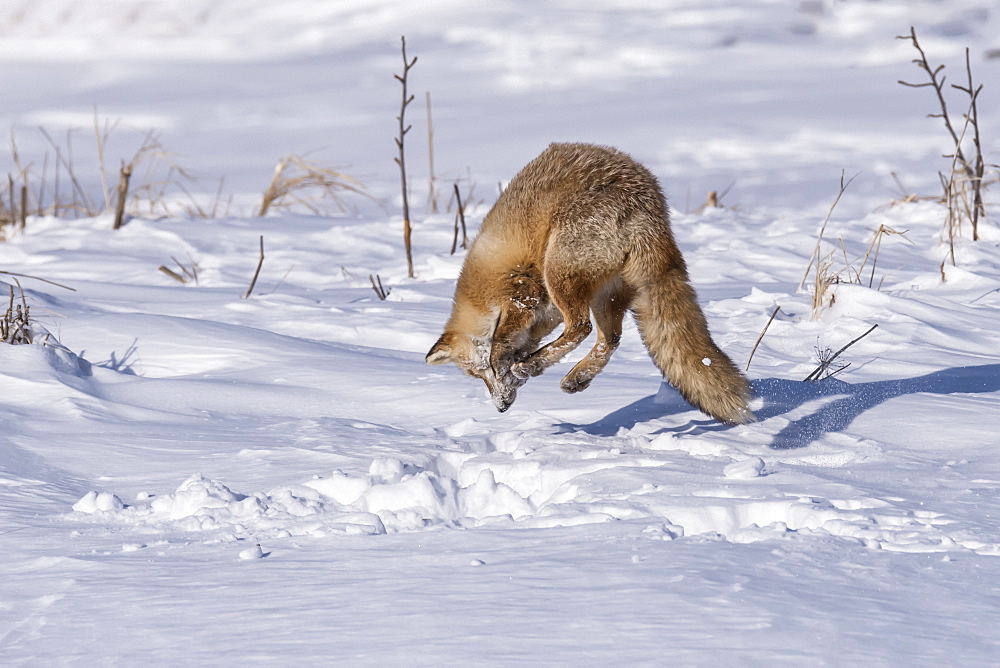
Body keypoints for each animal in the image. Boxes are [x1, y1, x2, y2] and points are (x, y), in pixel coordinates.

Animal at [426, 144, 752, 426]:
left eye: (483, 373)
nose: (501, 408)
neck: (481, 293)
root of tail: (646, 205)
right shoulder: (545, 312)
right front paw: (526, 365)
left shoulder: (524, 291)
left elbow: (501, 343)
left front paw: (516, 365)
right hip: (606, 295)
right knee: (610, 339)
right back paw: (575, 377)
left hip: (558, 273)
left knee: (581, 327)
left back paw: (537, 365)